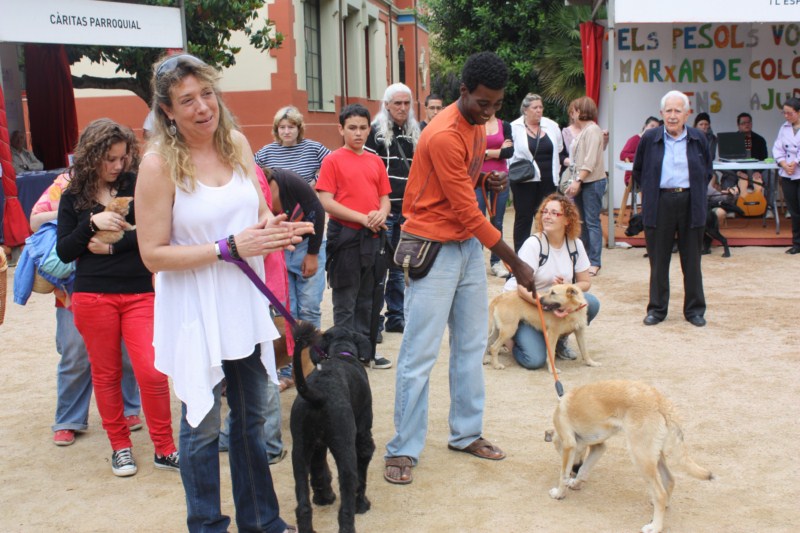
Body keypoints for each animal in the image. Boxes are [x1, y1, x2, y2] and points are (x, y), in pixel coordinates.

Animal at [544, 378, 712, 532]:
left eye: (558, 450)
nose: (575, 469)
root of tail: (660, 401)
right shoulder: (599, 447)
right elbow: (584, 469)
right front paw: (575, 483)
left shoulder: (569, 445)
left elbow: (563, 475)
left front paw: (559, 493)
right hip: (654, 455)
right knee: (669, 481)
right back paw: (663, 507)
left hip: (640, 456)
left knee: (660, 493)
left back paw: (655, 526)